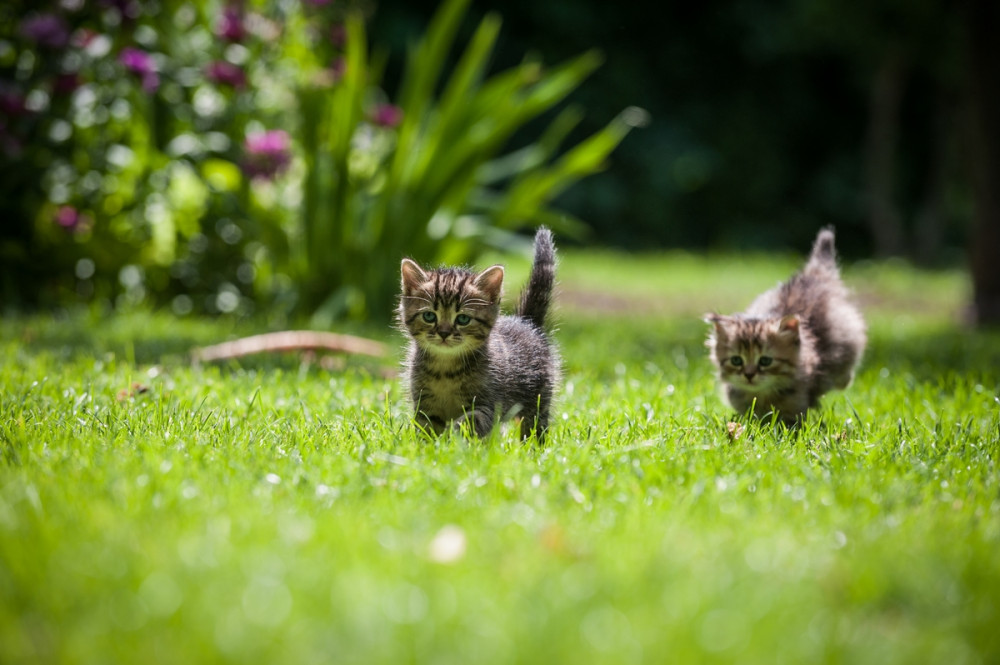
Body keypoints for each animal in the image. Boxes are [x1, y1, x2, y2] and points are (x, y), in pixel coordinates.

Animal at [398, 228, 560, 440]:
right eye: (429, 316)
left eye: (463, 319)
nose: (444, 333)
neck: (445, 370)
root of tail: (527, 322)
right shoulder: (424, 404)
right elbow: (427, 429)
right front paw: (429, 446)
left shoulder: (488, 403)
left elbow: (470, 421)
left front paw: (455, 435)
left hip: (538, 399)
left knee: (535, 427)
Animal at [704, 228, 868, 426]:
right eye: (736, 360)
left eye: (765, 361)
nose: (749, 375)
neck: (763, 394)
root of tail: (812, 276)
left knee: (844, 371)